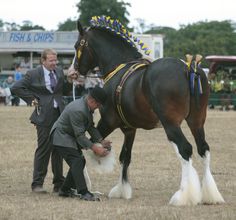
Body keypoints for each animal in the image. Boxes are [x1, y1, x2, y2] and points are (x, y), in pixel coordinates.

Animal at [72, 17, 225, 206]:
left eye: (77, 45)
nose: (73, 71)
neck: (118, 68)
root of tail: (188, 68)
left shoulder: (107, 122)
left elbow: (84, 147)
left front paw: (82, 184)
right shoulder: (129, 129)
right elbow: (125, 157)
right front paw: (122, 190)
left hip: (171, 124)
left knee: (185, 149)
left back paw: (183, 196)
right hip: (196, 121)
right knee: (203, 149)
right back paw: (210, 195)